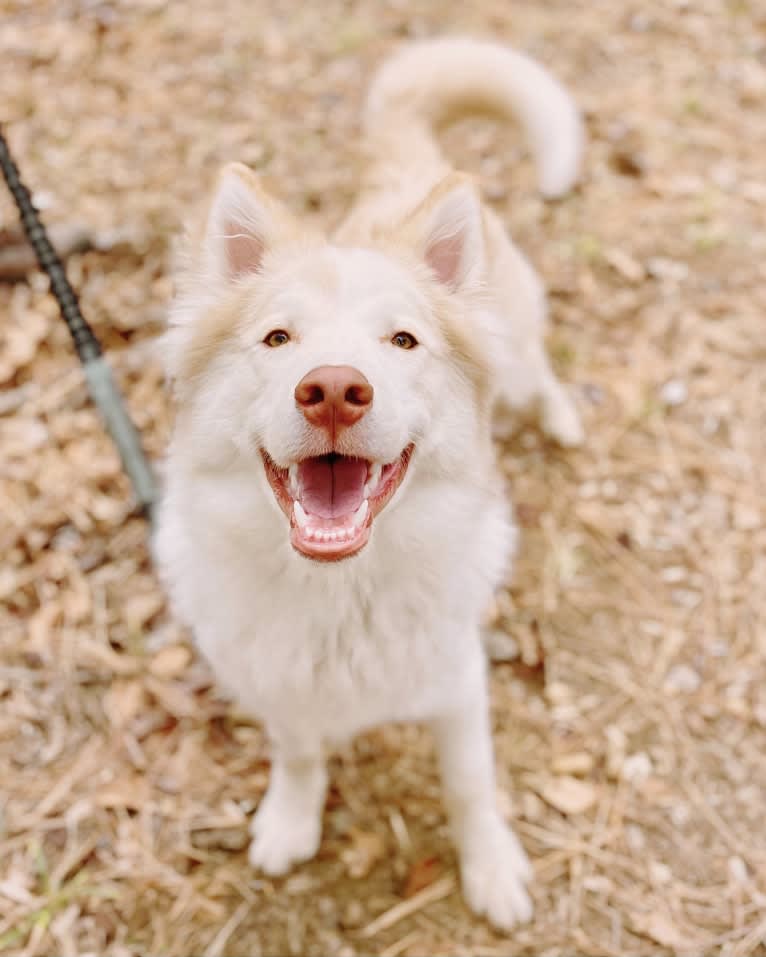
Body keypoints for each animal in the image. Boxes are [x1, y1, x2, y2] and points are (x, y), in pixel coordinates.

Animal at [158, 37, 588, 928]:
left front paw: (492, 871)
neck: (339, 594)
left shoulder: (458, 686)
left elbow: (469, 787)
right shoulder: (278, 687)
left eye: (403, 340)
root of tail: (406, 171)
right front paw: (290, 821)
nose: (331, 390)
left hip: (519, 350)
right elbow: (298, 757)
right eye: (277, 338)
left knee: (538, 371)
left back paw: (563, 417)